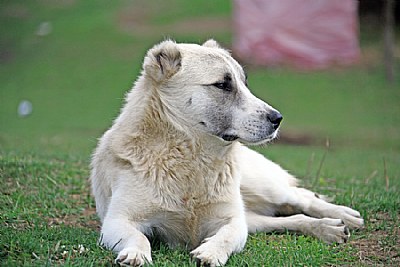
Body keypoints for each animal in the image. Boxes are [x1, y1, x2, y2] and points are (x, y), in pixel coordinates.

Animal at [90, 38, 362, 266]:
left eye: (244, 83)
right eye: (222, 85)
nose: (278, 119)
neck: (193, 160)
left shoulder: (232, 221)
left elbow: (226, 237)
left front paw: (210, 253)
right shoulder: (117, 221)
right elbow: (139, 237)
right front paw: (136, 253)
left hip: (262, 187)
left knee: (301, 197)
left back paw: (343, 216)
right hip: (253, 214)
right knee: (287, 219)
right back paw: (327, 228)